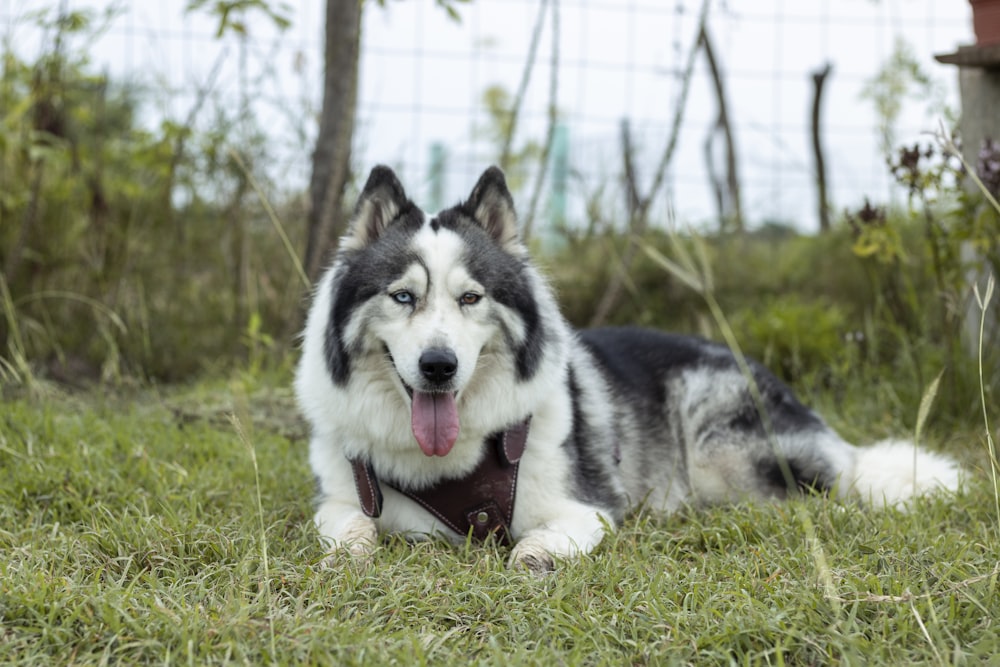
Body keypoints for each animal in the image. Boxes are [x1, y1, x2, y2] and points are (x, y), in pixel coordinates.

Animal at [292, 164, 960, 572]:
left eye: (470, 298)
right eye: (403, 296)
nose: (438, 366)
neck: (447, 465)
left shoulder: (587, 507)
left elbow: (538, 542)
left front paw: (533, 558)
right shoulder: (341, 494)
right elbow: (349, 530)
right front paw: (343, 560)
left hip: (725, 458)